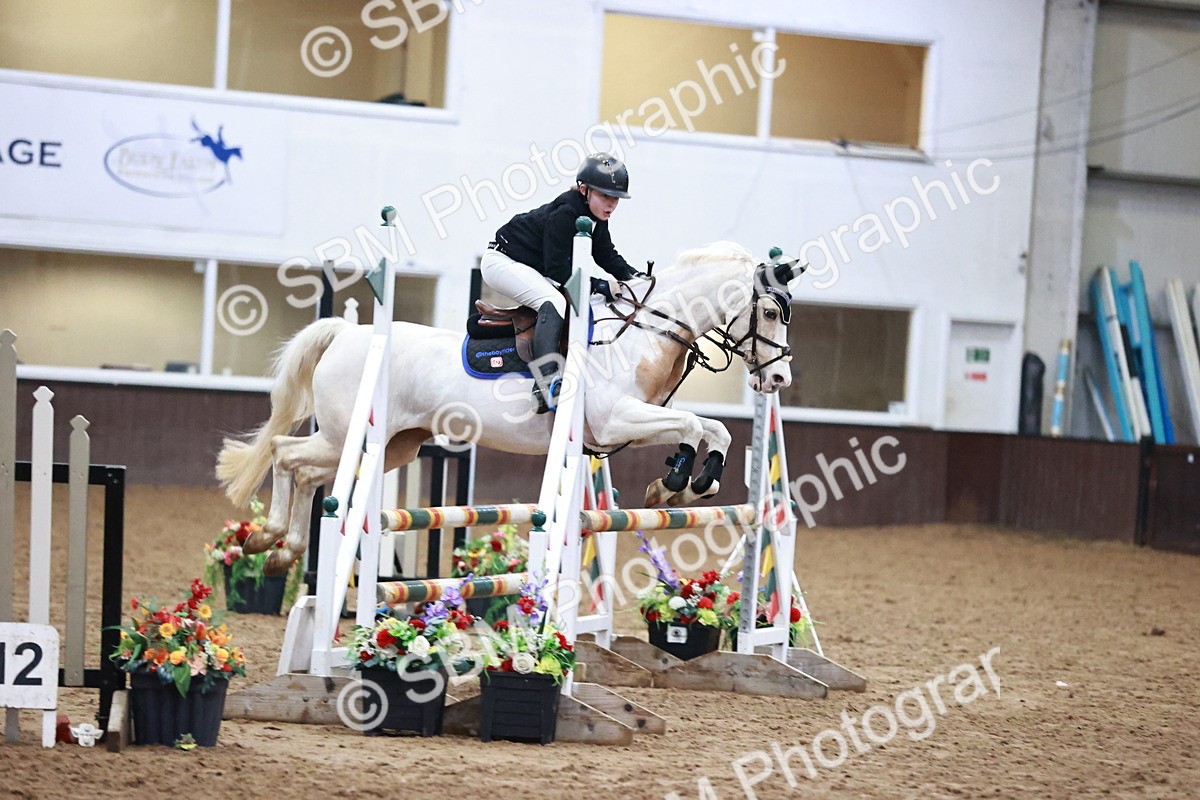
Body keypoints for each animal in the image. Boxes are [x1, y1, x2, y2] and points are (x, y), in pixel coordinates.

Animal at [216, 241, 802, 573]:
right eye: (771, 312)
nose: (778, 378)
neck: (648, 329)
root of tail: (348, 333)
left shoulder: (625, 427)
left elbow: (711, 429)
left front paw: (676, 485)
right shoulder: (616, 419)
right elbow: (698, 426)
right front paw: (680, 480)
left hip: (390, 448)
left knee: (311, 475)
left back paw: (282, 549)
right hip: (347, 435)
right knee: (287, 455)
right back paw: (271, 538)